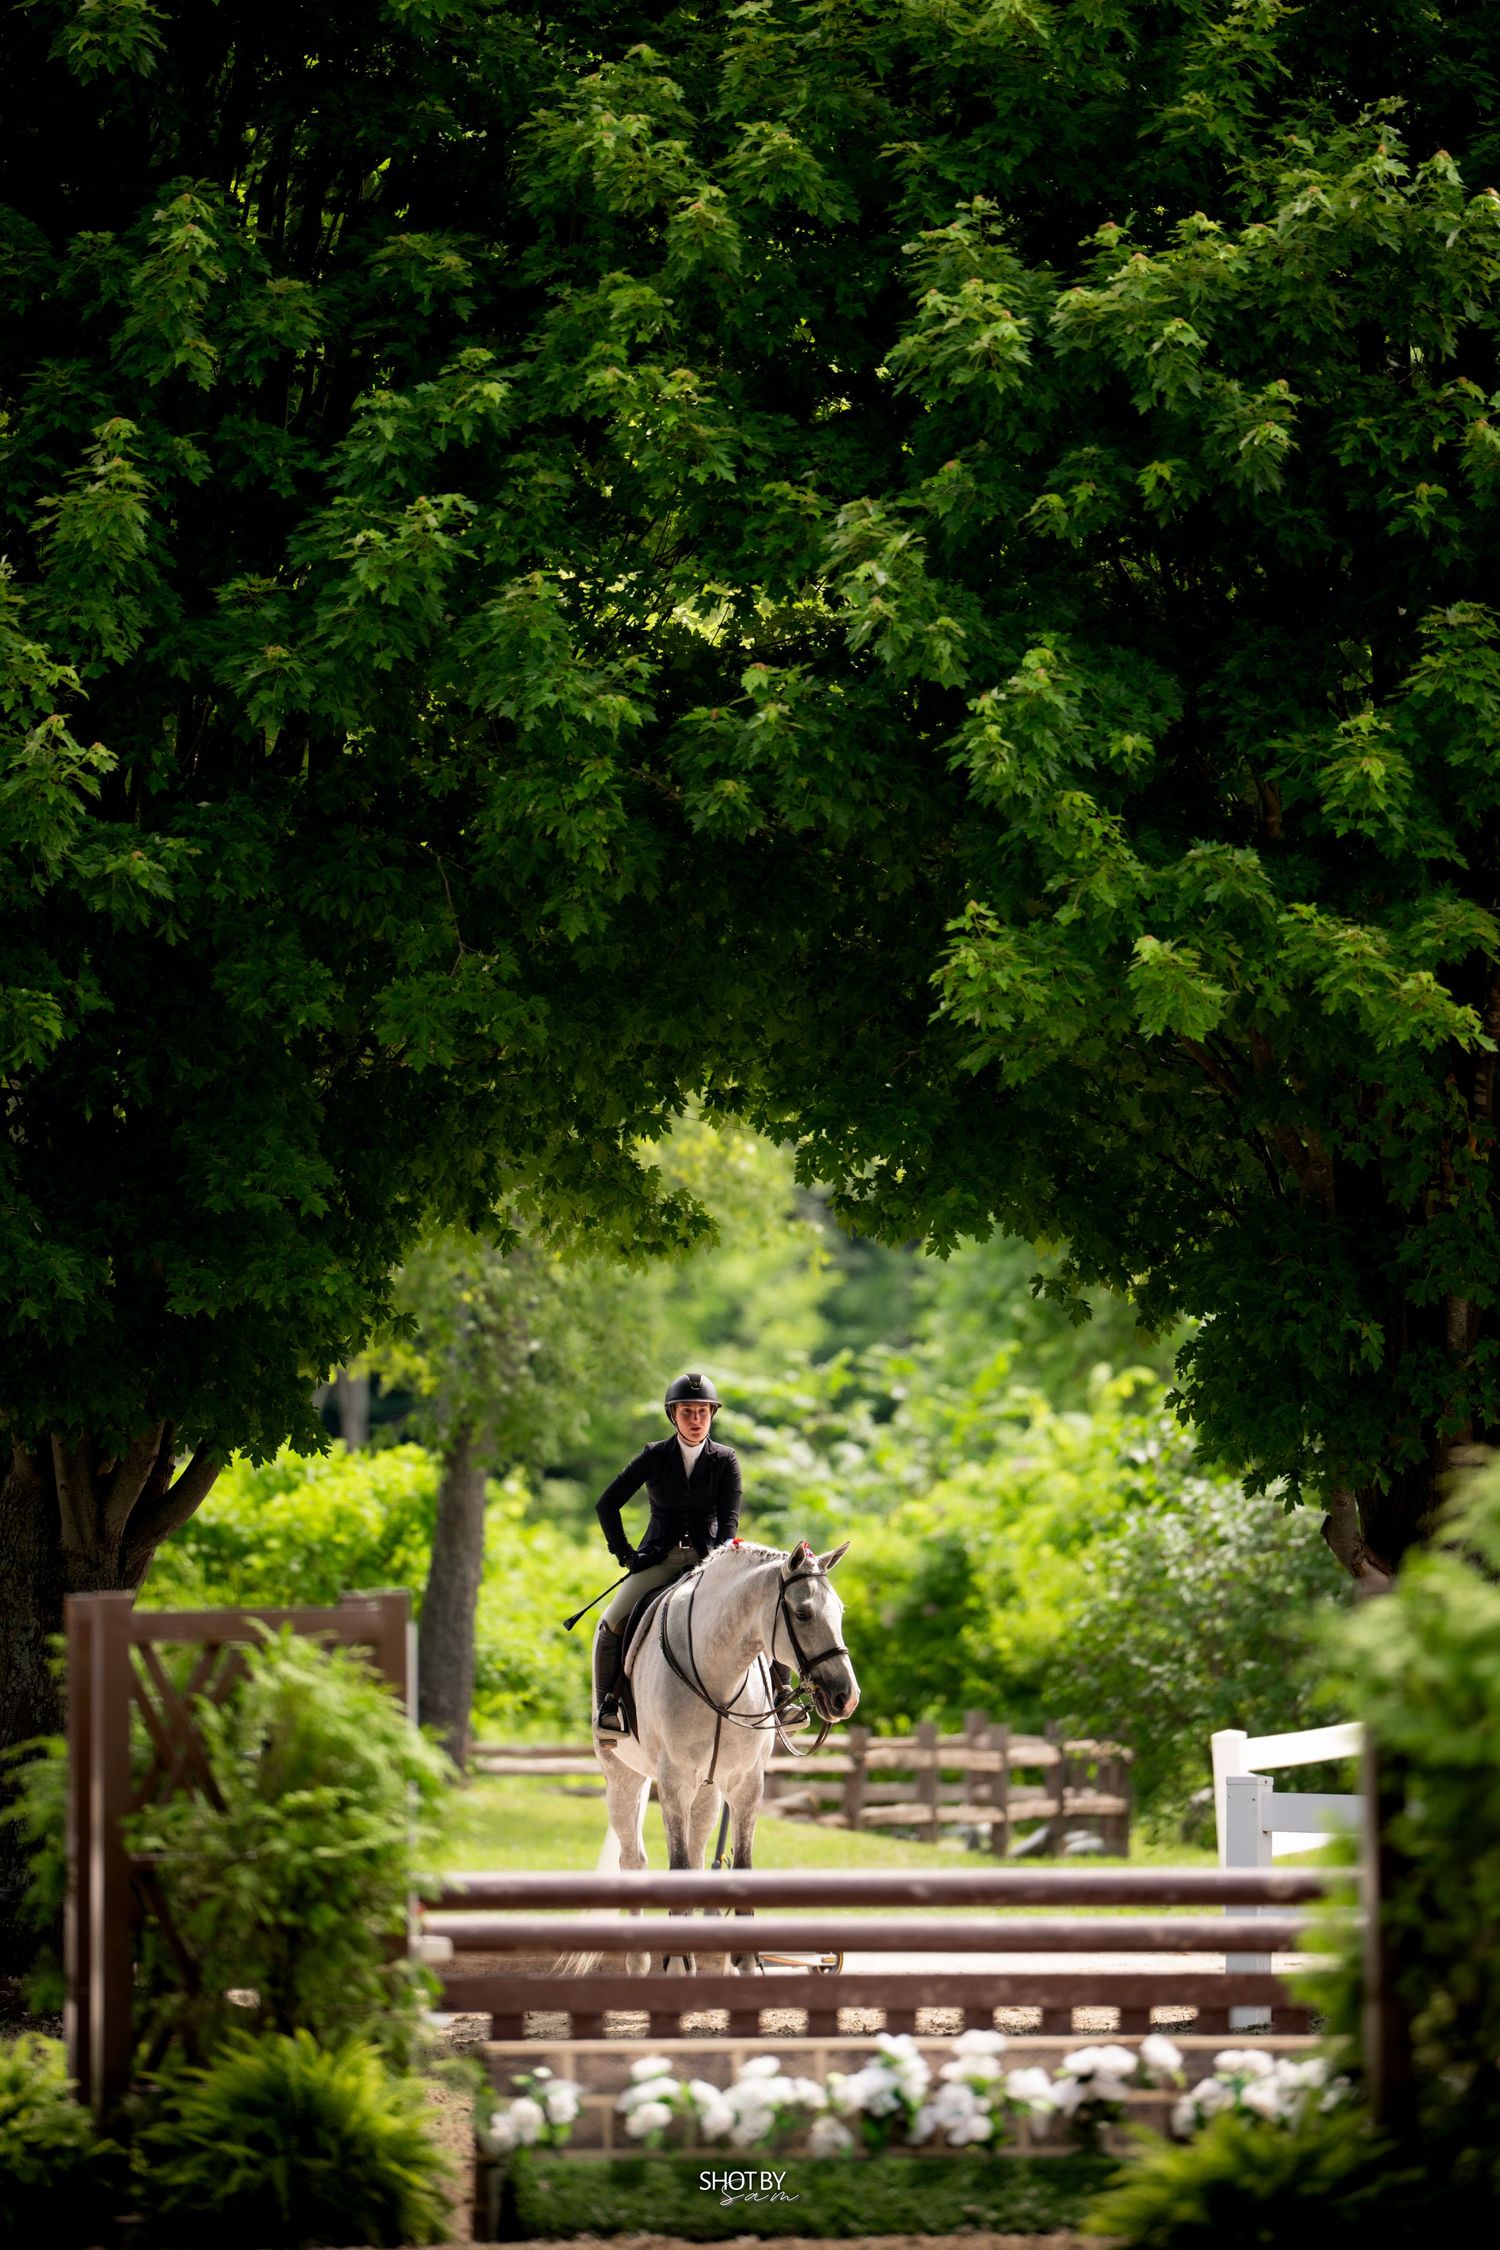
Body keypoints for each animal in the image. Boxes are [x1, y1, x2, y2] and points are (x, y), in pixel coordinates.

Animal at [589, 1537, 859, 1971]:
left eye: (839, 1612)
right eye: (803, 1613)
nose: (845, 1698)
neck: (719, 1673)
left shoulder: (745, 1784)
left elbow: (740, 1866)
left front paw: (745, 1961)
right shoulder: (675, 1784)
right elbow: (677, 1866)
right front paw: (676, 1962)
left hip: (708, 1790)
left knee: (699, 1853)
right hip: (623, 1778)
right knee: (633, 1861)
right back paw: (640, 1961)